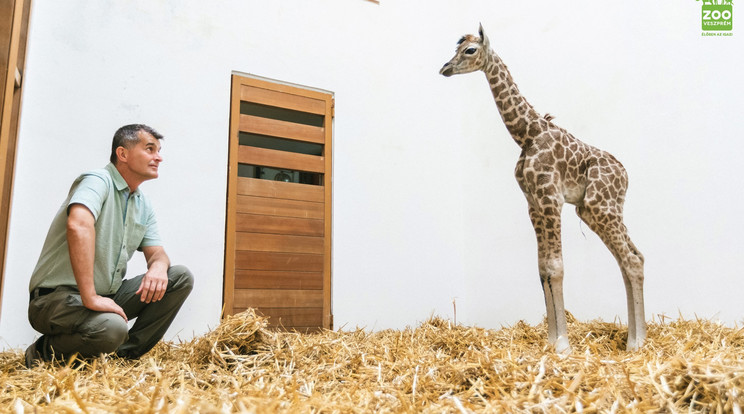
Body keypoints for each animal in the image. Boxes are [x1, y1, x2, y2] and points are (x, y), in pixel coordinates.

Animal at [442, 24, 644, 352]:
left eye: (470, 50)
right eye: (456, 48)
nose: (445, 68)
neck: (527, 133)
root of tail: (625, 176)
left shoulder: (551, 198)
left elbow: (555, 266)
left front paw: (562, 345)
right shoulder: (534, 203)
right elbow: (543, 270)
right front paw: (553, 341)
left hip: (601, 207)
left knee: (632, 260)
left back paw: (637, 344)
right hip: (594, 211)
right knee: (632, 258)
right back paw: (635, 340)